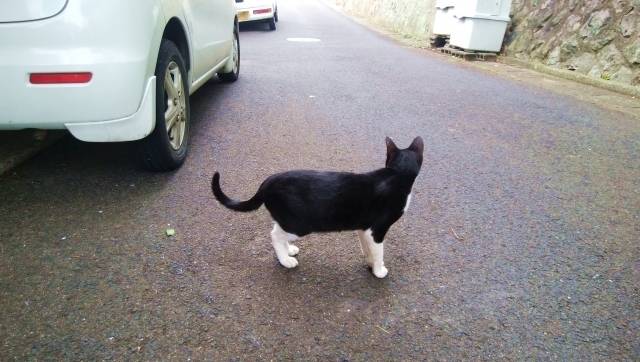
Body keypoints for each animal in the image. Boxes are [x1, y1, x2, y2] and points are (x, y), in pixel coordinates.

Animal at [211, 137, 424, 278]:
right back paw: (286, 260)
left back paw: (289, 251)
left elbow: (367, 247)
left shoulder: (365, 228)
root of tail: (268, 181)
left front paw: (370, 262)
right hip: (300, 224)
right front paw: (379, 270)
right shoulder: (378, 229)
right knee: (274, 235)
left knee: (277, 230)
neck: (396, 174)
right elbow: (379, 252)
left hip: (289, 220)